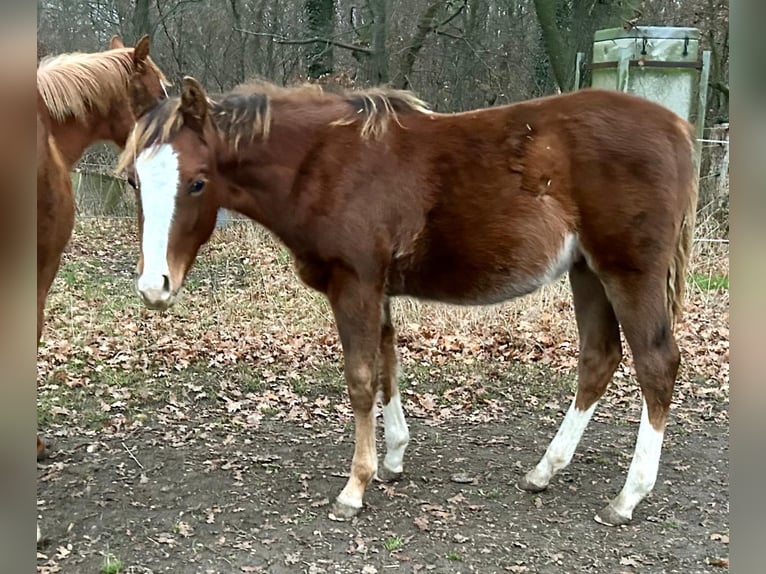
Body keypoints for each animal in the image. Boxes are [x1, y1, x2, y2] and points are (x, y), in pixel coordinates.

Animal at [117, 76, 698, 527]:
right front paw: (393, 458)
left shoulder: (354, 284)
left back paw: (627, 498)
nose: (154, 286)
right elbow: (388, 364)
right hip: (587, 272)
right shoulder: (378, 288)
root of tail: (677, 128)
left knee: (656, 364)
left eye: (197, 182)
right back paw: (544, 471)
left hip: (628, 273)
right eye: (133, 181)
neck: (321, 164)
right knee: (599, 359)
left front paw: (355, 488)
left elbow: (360, 378)